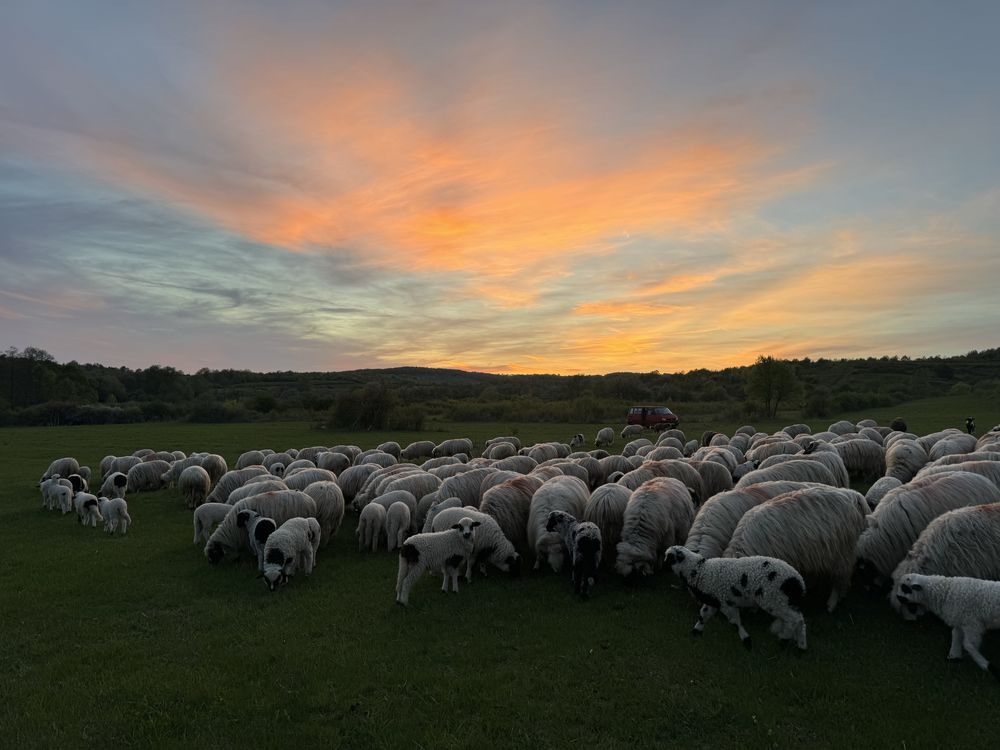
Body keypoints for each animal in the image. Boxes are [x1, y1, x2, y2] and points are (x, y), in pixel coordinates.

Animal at [668, 548, 808, 652]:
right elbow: (703, 615)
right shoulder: (713, 601)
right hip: (785, 601)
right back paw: (801, 647)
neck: (698, 570)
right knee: (800, 620)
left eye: (668, 557)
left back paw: (784, 639)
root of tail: (798, 582)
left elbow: (735, 622)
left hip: (775, 599)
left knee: (794, 619)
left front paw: (747, 641)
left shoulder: (725, 602)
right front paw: (696, 632)